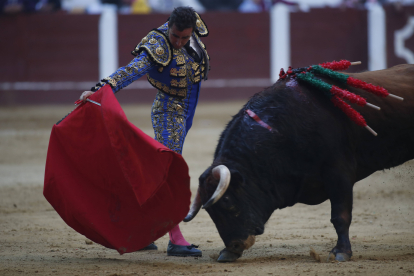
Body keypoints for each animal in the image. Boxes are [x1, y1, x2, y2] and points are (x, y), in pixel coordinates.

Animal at [184, 64, 414, 264]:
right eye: (211, 213)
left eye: (228, 202)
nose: (234, 245)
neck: (281, 130)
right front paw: (227, 253)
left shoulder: (339, 173)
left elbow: (340, 216)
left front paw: (340, 252)